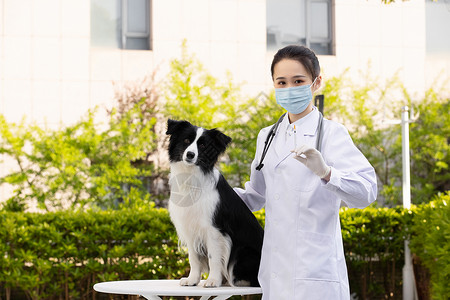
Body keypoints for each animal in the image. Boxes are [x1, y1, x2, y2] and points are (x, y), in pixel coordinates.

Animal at [166, 119, 264, 288]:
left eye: (203, 145)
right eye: (186, 140)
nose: (190, 155)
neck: (192, 178)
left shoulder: (214, 230)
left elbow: (214, 258)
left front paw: (213, 280)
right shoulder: (190, 228)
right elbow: (194, 258)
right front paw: (192, 280)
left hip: (243, 252)